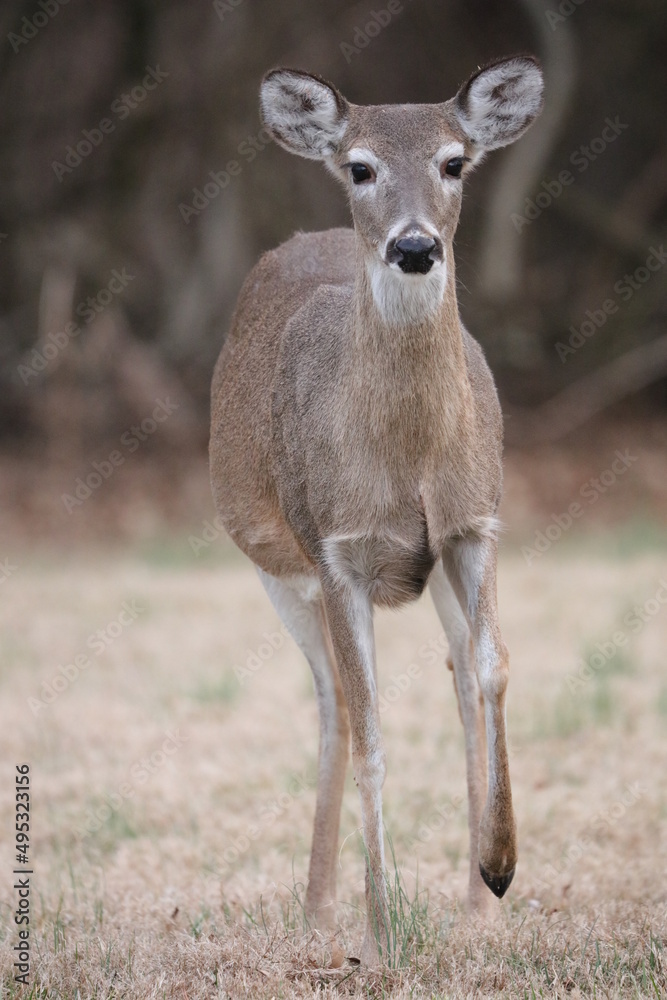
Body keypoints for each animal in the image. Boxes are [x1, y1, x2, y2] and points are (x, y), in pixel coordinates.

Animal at [210, 56, 544, 966]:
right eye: (359, 168)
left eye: (455, 161)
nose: (414, 246)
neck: (407, 461)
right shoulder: (334, 548)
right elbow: (370, 731)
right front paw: (382, 929)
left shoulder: (474, 523)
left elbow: (494, 668)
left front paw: (499, 868)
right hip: (275, 565)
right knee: (330, 702)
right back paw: (320, 909)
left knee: (454, 669)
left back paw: (475, 904)